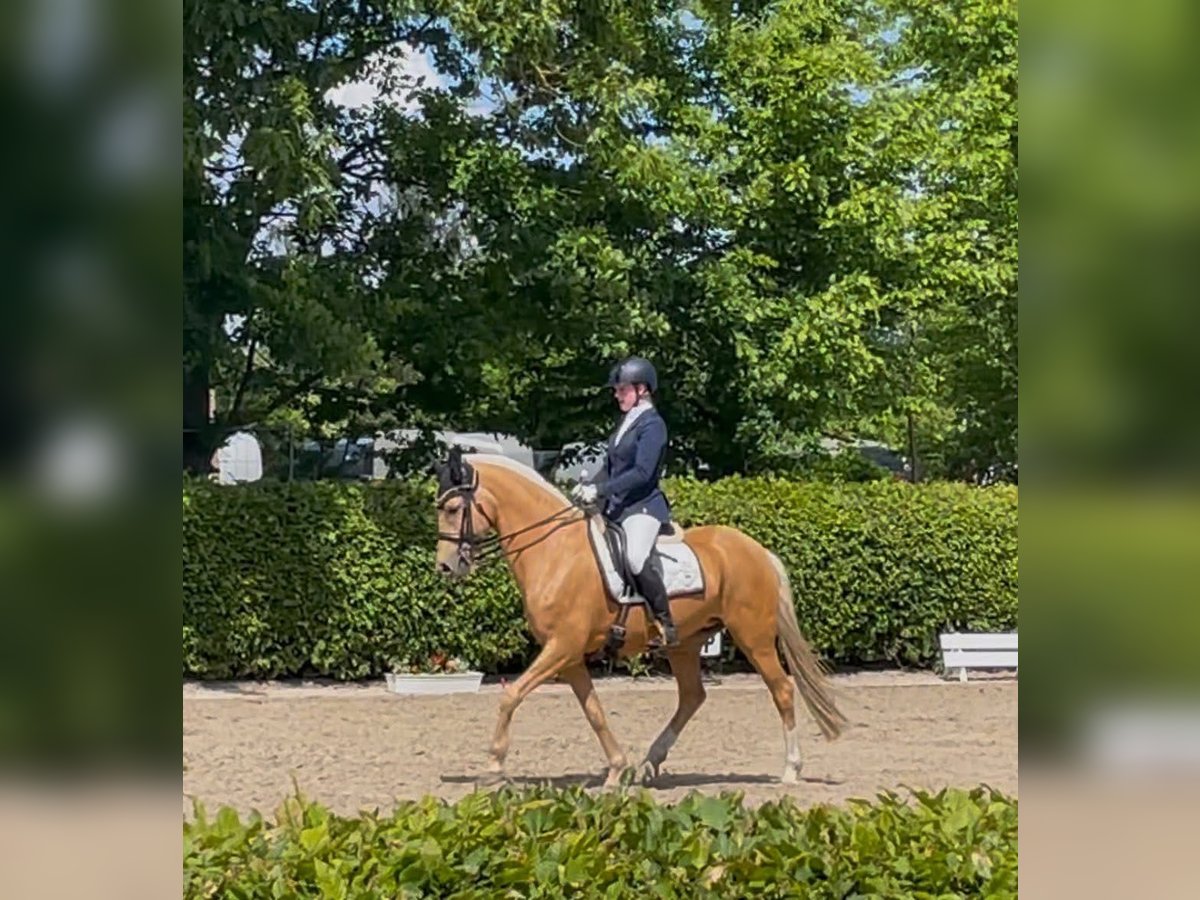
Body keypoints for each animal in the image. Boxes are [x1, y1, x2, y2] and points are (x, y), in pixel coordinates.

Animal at [432, 446, 848, 788]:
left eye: (452, 509)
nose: (447, 566)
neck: (556, 551)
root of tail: (758, 550)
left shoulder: (561, 646)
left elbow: (510, 695)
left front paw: (494, 765)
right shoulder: (569, 656)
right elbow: (594, 712)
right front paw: (618, 769)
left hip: (754, 638)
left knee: (782, 689)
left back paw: (791, 769)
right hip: (685, 644)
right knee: (692, 696)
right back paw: (650, 763)